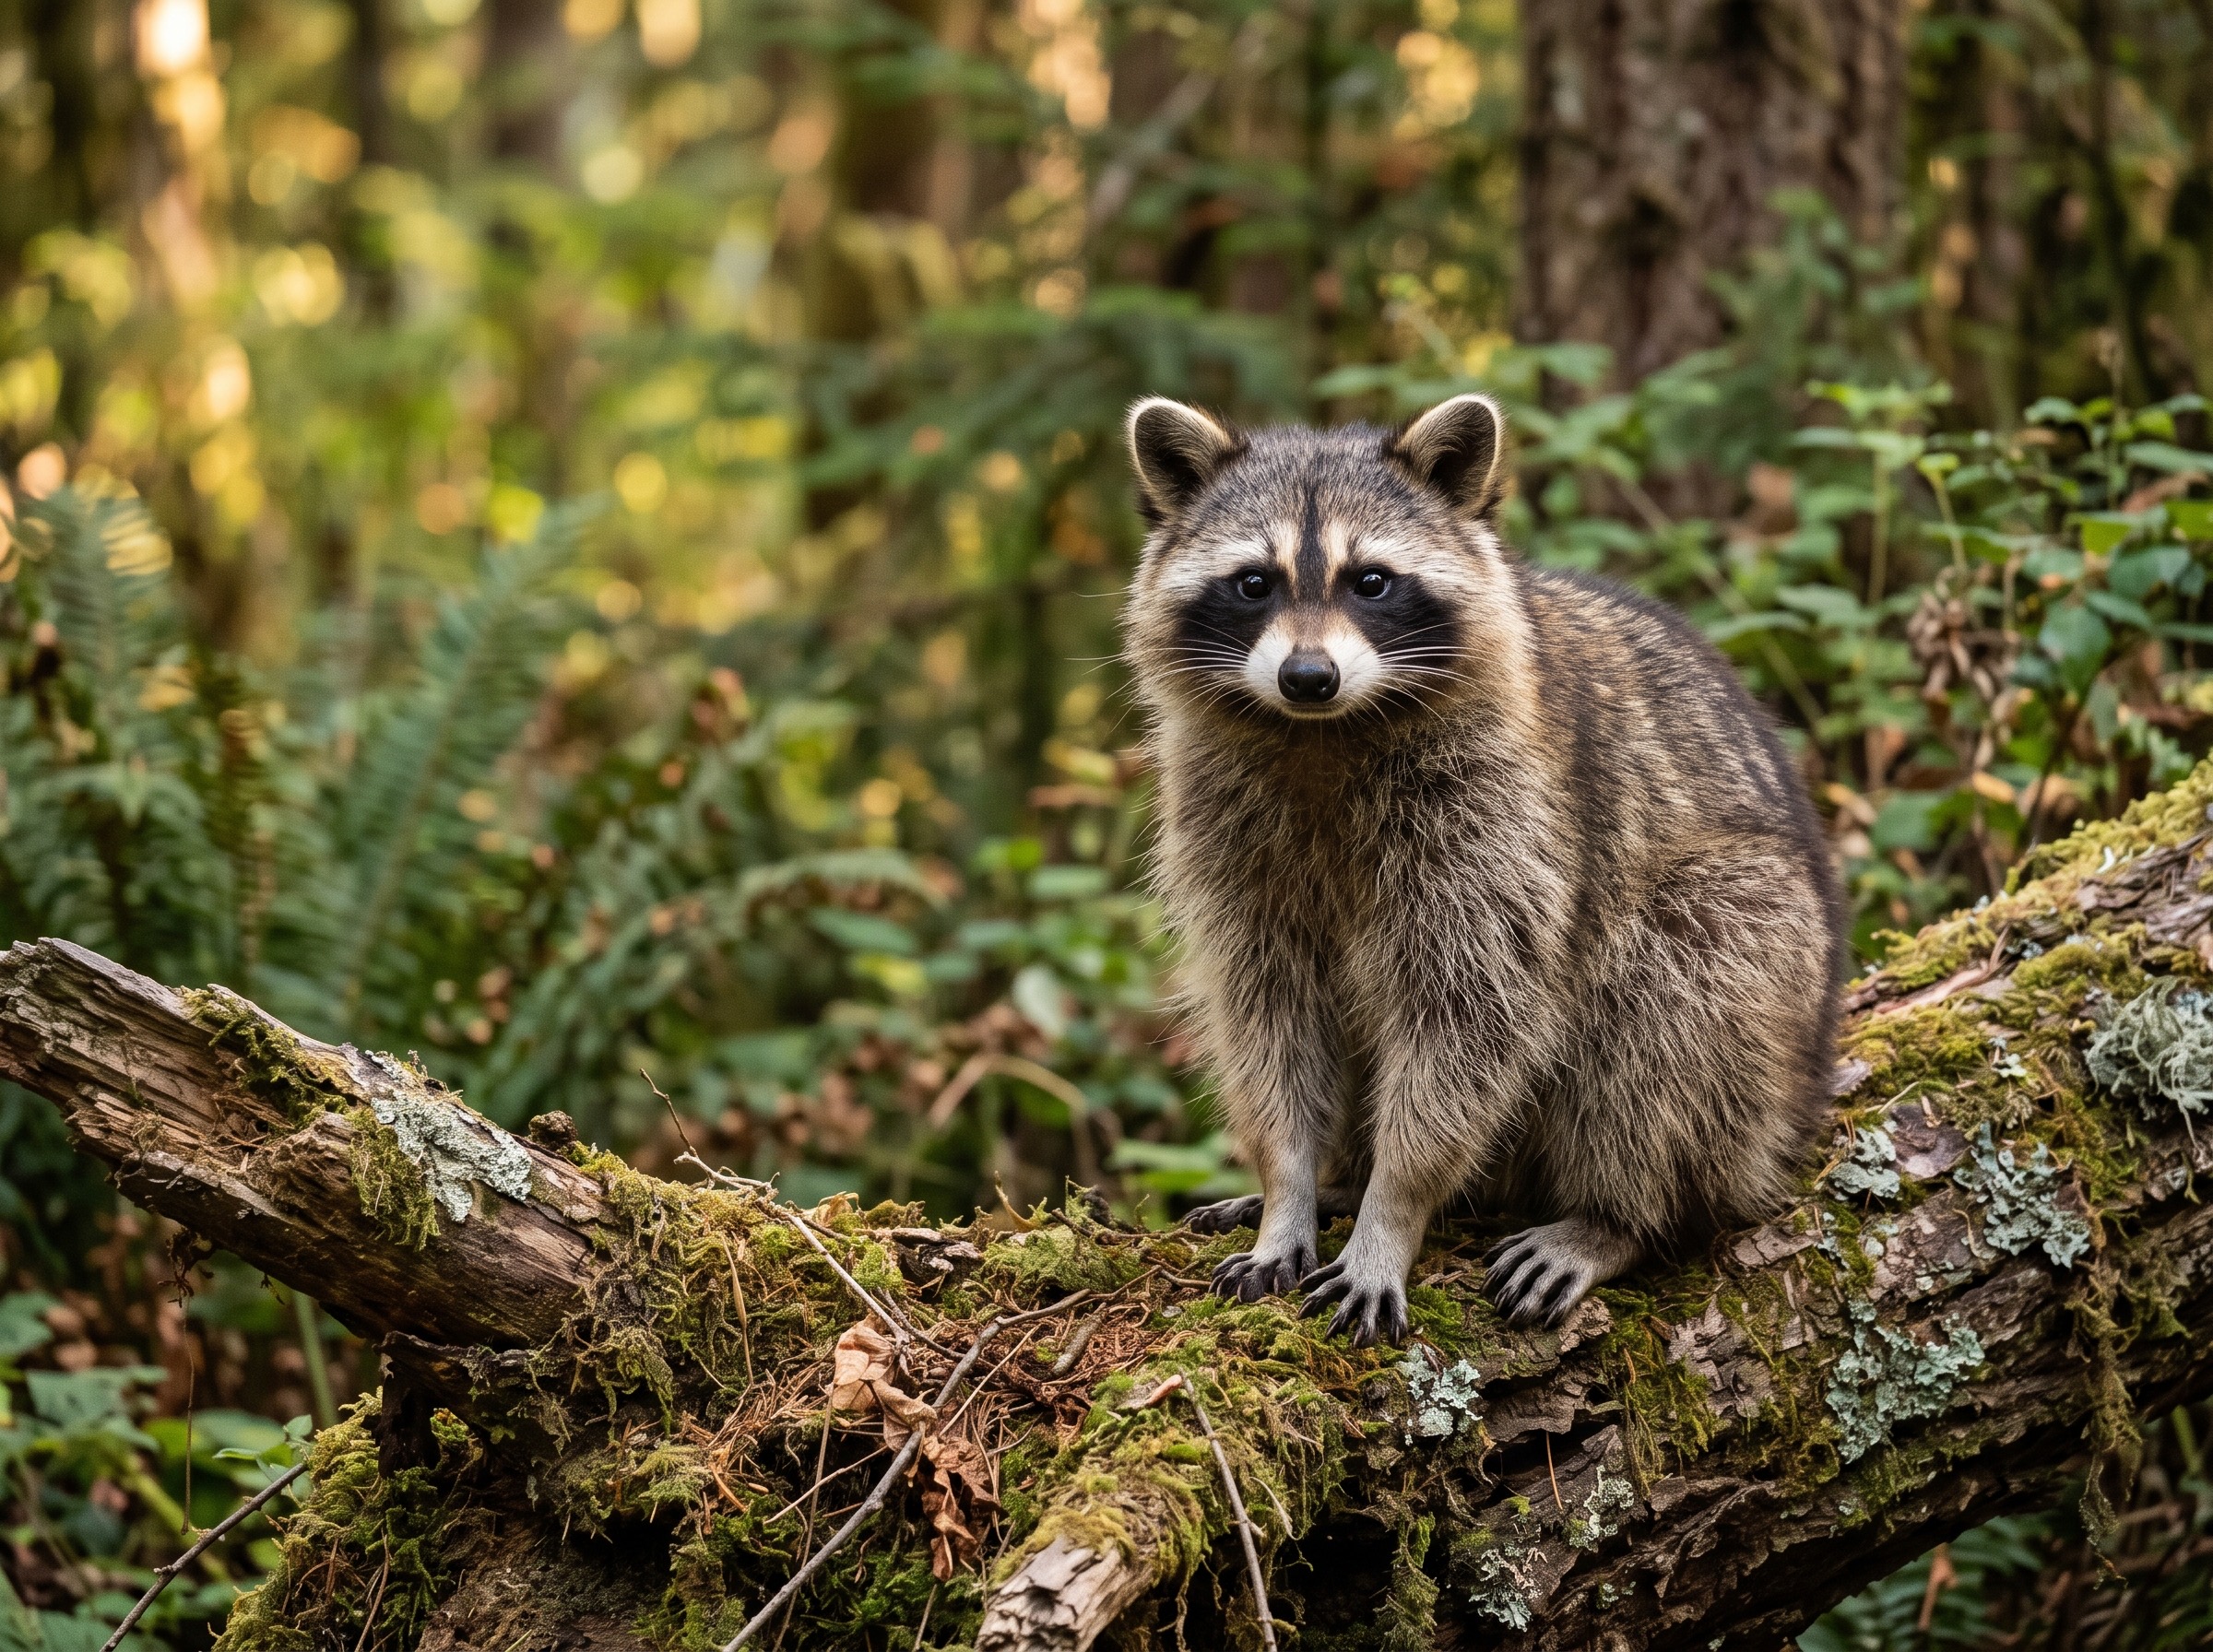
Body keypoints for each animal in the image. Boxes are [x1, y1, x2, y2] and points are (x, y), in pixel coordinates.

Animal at [1120, 394, 1845, 1345]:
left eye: (1371, 581)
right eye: (1254, 583)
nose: (1308, 676)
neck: (1323, 733)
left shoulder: (1503, 823)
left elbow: (1469, 1018)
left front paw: (1393, 1212)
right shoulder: (1227, 832)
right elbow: (1268, 1012)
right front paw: (1288, 1188)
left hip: (1766, 950)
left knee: (1674, 996)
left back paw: (1618, 1216)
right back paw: (1340, 1181)